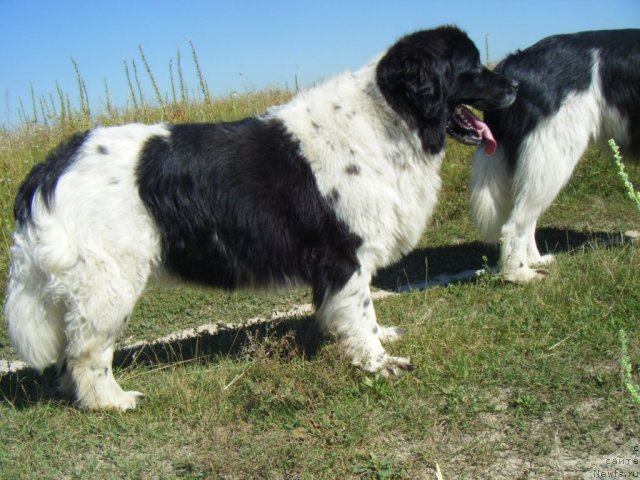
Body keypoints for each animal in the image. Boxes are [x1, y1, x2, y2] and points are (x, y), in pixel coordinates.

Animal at [5, 25, 516, 408]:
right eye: (471, 68)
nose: (513, 83)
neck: (390, 117)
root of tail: (56, 161)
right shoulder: (343, 253)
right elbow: (361, 310)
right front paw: (378, 360)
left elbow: (347, 309)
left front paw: (362, 340)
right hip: (110, 280)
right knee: (87, 351)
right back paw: (110, 401)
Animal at [470, 30, 640, 284]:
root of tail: (512, 64)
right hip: (553, 154)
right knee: (514, 224)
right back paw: (520, 274)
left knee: (526, 217)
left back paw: (535, 261)